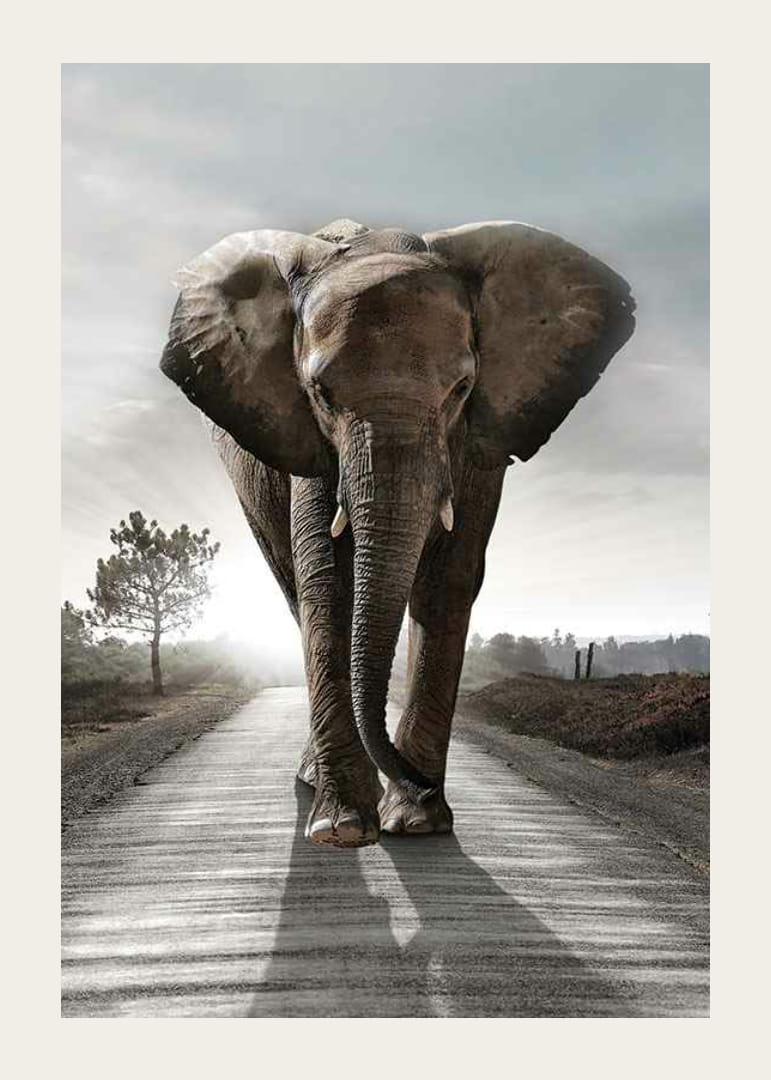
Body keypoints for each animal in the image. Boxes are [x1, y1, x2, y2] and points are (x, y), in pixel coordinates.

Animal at [160, 217, 635, 848]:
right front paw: (342, 829)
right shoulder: (309, 445)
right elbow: (327, 583)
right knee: (293, 590)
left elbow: (449, 582)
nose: (423, 784)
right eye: (321, 393)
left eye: (462, 389)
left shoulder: (478, 442)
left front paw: (416, 822)